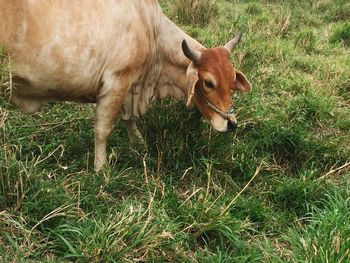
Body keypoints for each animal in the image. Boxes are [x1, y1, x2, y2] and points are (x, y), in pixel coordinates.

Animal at [0, 0, 252, 171]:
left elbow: (129, 119)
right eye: (208, 82)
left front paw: (138, 142)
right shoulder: (116, 82)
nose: (231, 123)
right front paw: (101, 168)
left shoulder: (130, 86)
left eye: (231, 79)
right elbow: (103, 130)